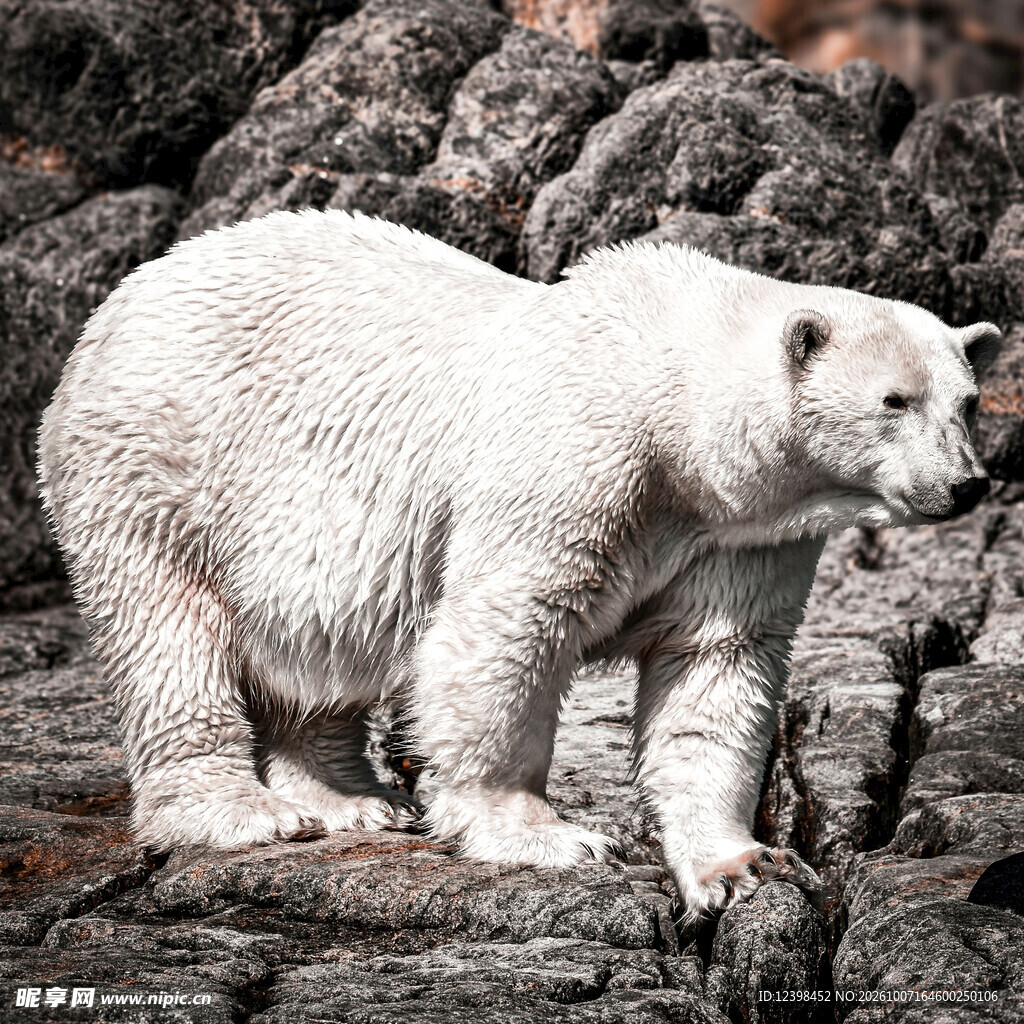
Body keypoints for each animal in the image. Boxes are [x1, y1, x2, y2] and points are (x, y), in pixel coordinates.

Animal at [37, 209, 1001, 925]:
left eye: (967, 401)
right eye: (894, 400)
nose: (966, 483)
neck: (674, 413)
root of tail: (122, 300)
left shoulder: (740, 537)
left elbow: (714, 669)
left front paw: (739, 866)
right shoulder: (579, 464)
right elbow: (506, 626)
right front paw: (549, 835)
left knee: (323, 645)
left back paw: (352, 799)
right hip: (158, 464)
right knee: (171, 633)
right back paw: (245, 811)